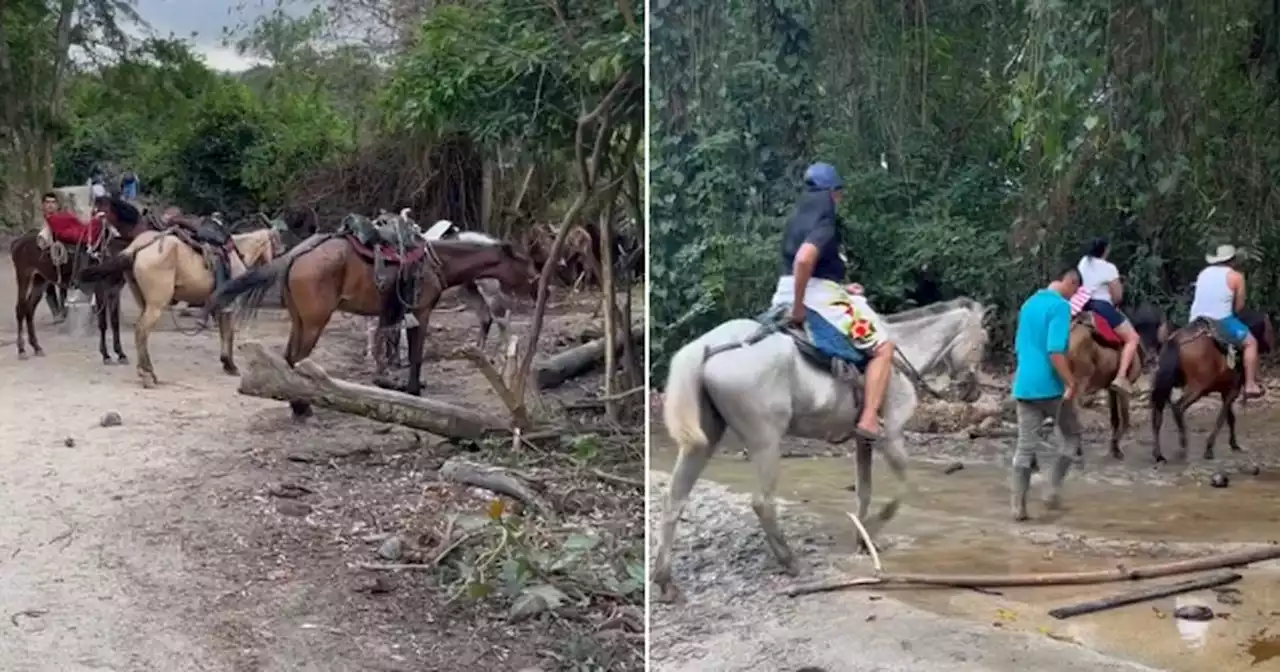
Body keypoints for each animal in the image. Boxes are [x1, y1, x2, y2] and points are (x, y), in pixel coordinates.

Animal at [200, 230, 540, 419]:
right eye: (524, 261)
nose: (539, 284)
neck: (437, 261)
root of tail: (295, 256)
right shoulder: (421, 312)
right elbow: (415, 354)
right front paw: (413, 391)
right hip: (314, 322)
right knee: (297, 359)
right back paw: (302, 407)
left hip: (300, 320)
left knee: (288, 359)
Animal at [650, 295, 988, 599]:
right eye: (983, 342)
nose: (972, 392)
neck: (899, 357)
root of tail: (708, 346)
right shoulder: (890, 436)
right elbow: (902, 490)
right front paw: (870, 533)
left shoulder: (863, 440)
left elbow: (864, 491)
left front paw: (862, 539)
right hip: (766, 440)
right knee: (762, 502)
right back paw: (790, 562)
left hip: (704, 439)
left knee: (674, 499)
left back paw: (666, 583)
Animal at [1152, 312, 1269, 463]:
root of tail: (1175, 341)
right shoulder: (1233, 390)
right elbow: (1222, 418)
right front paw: (1209, 448)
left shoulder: (1225, 390)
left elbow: (1230, 418)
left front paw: (1234, 444)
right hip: (1197, 388)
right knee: (1178, 407)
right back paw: (1183, 446)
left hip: (1165, 386)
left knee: (1157, 416)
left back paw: (1159, 455)